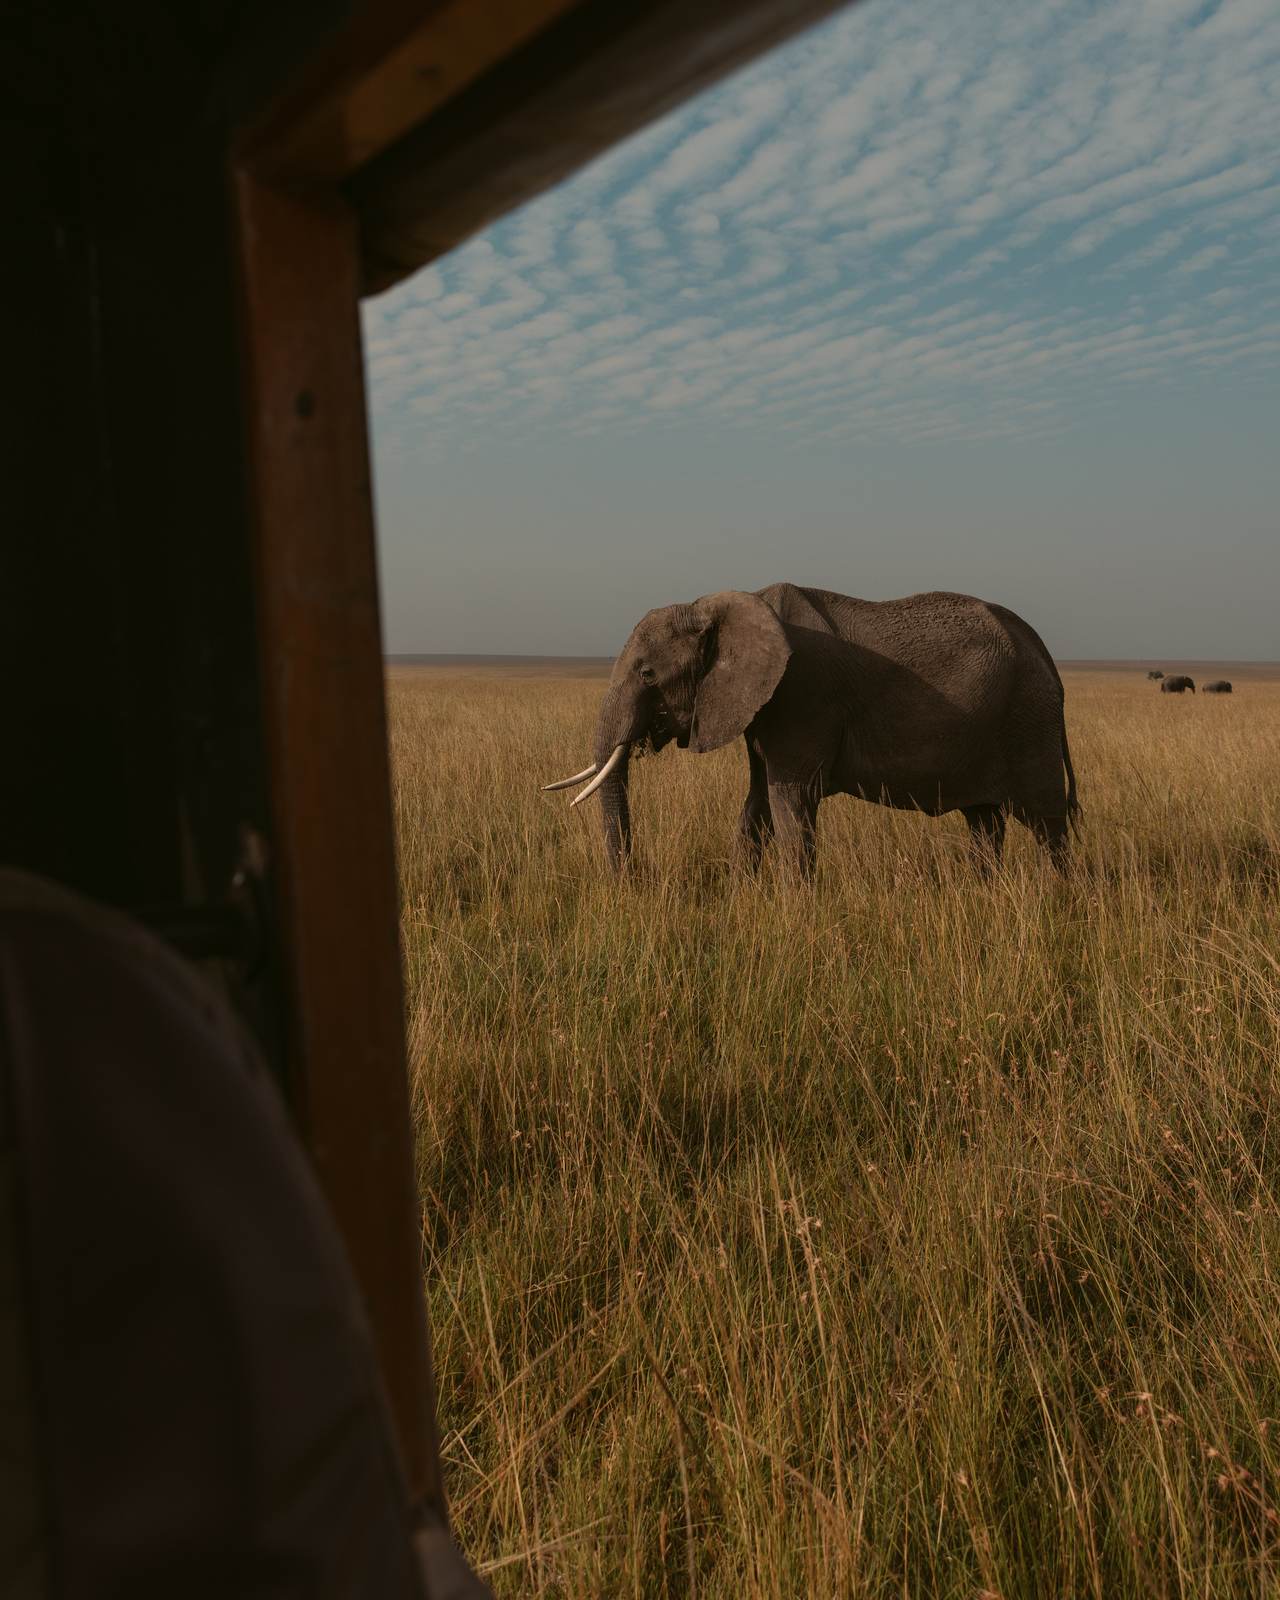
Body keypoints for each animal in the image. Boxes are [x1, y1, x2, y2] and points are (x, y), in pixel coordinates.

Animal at [543, 583, 1079, 878]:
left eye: (649, 675)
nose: (632, 882)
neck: (721, 605)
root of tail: (1045, 652)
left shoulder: (801, 694)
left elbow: (790, 799)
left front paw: (795, 910)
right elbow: (758, 801)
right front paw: (743, 896)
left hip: (1029, 723)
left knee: (1048, 823)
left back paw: (1060, 900)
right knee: (984, 822)